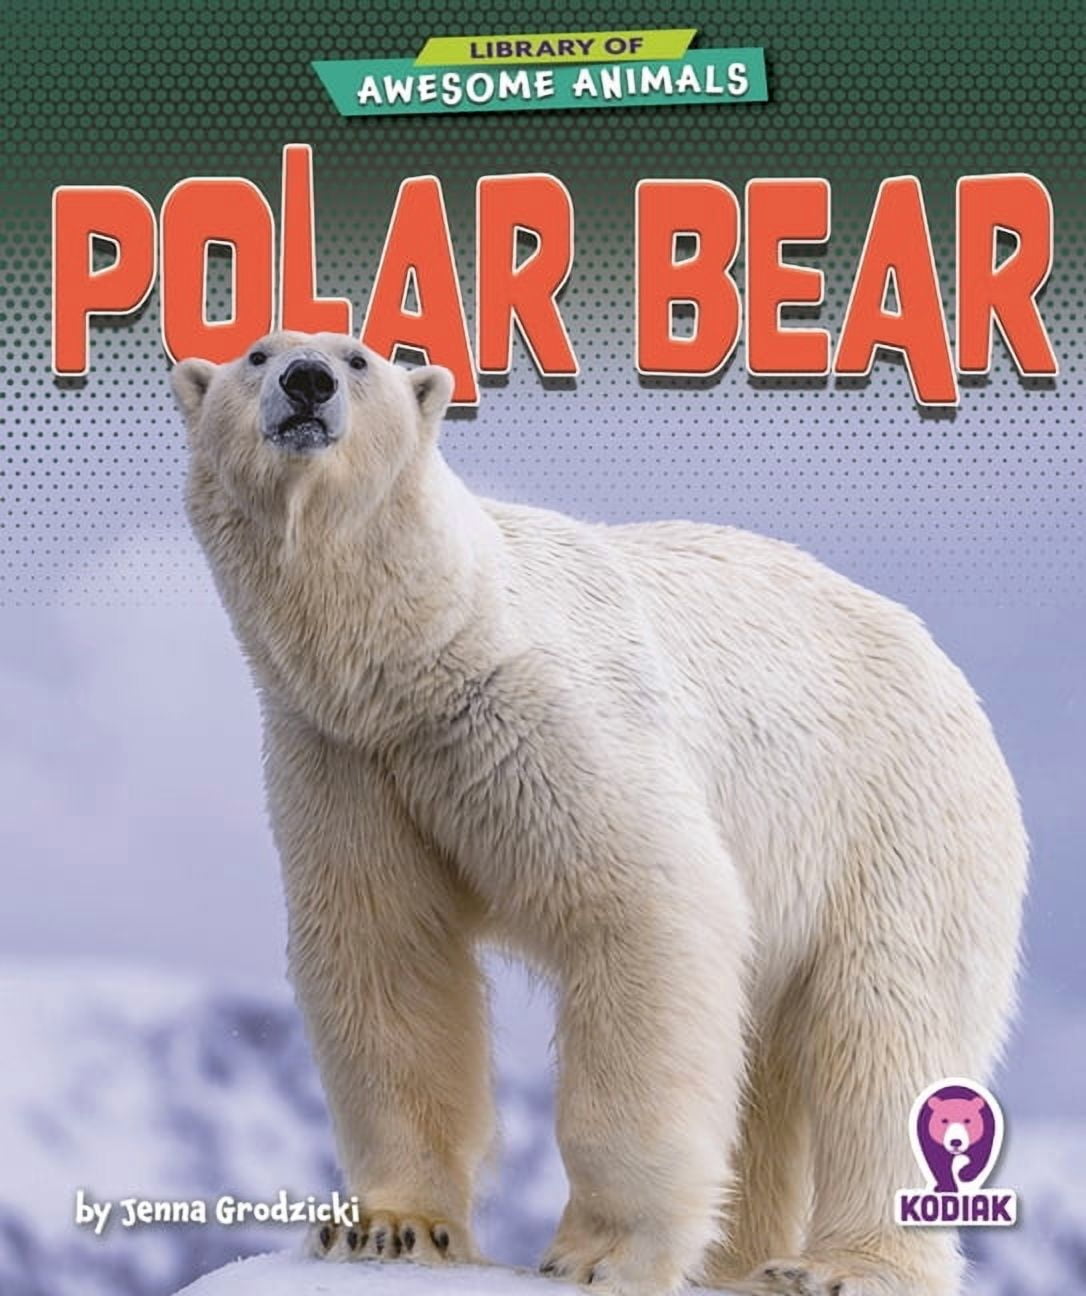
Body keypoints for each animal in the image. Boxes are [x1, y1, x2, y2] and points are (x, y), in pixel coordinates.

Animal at [171, 332, 1027, 1296]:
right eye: (256, 352)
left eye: (357, 359)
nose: (307, 382)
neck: (421, 651)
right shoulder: (345, 761)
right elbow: (385, 954)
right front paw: (390, 1226)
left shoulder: (538, 714)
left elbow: (645, 907)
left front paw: (600, 1253)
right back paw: (740, 1259)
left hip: (895, 820)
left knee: (886, 1026)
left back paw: (835, 1266)